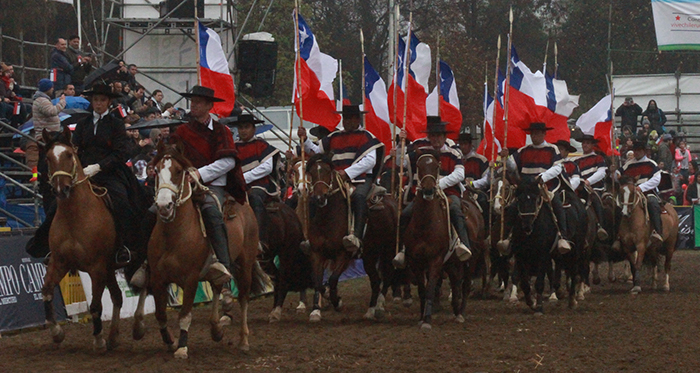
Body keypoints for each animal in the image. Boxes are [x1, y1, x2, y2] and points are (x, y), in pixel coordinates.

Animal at [39, 126, 123, 350]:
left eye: (69, 154)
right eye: (48, 157)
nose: (62, 189)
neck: (75, 216)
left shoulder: (97, 267)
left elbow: (95, 305)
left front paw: (98, 339)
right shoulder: (59, 262)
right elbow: (47, 291)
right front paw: (57, 333)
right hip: (110, 269)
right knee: (118, 297)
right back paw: (113, 337)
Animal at [132, 142, 268, 358]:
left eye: (179, 171)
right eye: (156, 171)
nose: (164, 206)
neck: (174, 236)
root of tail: (243, 205)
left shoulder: (191, 279)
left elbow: (185, 315)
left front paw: (182, 347)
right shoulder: (158, 277)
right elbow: (160, 314)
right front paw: (170, 341)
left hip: (245, 263)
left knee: (244, 298)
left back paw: (243, 340)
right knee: (218, 286)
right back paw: (216, 328)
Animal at [304, 153, 400, 322]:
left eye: (328, 171)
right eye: (312, 172)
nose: (320, 198)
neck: (328, 219)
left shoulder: (344, 255)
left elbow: (333, 279)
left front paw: (338, 302)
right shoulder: (317, 253)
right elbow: (318, 282)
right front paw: (316, 310)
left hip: (387, 249)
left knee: (387, 275)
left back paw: (379, 306)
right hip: (369, 255)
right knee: (376, 281)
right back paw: (370, 310)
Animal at [402, 152, 468, 328]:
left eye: (436, 166)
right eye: (419, 166)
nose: (429, 189)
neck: (425, 225)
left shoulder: (436, 260)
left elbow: (430, 288)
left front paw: (427, 320)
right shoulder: (415, 261)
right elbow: (422, 290)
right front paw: (421, 316)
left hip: (456, 263)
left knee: (457, 284)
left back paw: (458, 313)